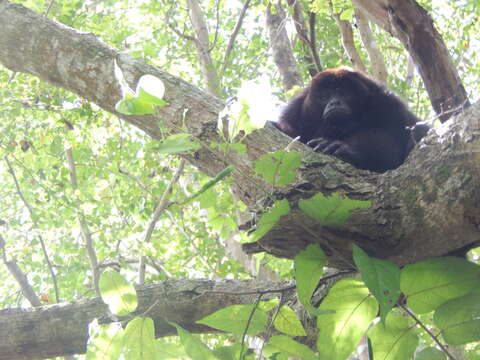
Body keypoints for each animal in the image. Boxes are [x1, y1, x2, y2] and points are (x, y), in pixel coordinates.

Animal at [274, 68, 428, 174]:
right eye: (324, 96)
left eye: (343, 93)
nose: (334, 102)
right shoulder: (293, 113)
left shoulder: (389, 104)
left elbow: (393, 150)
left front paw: (343, 148)